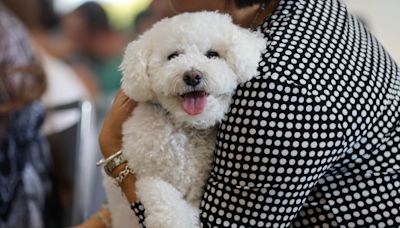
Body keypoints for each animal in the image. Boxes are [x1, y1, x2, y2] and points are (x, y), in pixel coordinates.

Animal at [103, 11, 266, 228]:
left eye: (212, 54)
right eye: (173, 56)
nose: (192, 75)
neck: (185, 130)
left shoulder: (196, 189)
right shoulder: (147, 174)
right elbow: (166, 204)